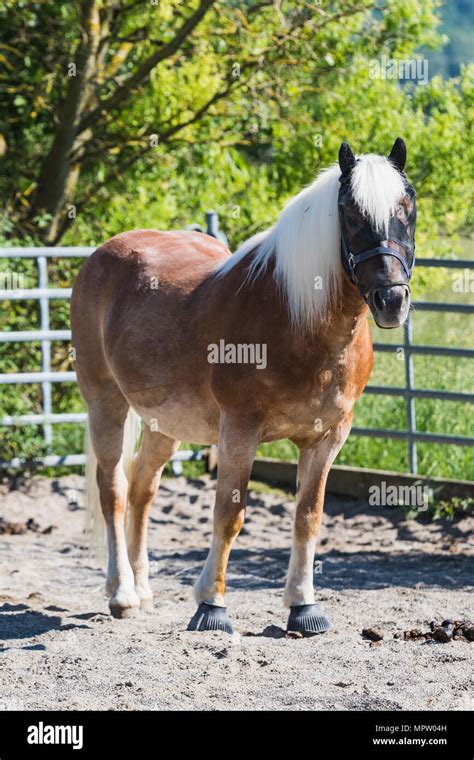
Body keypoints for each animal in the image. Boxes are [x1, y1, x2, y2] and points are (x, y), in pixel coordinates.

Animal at [69, 138, 414, 636]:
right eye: (351, 213)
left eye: (409, 207)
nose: (392, 299)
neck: (295, 315)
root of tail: (104, 254)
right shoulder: (239, 432)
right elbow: (229, 516)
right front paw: (211, 606)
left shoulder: (328, 437)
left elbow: (308, 518)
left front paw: (303, 606)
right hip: (105, 402)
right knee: (113, 487)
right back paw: (123, 594)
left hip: (163, 423)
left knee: (142, 489)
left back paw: (144, 587)